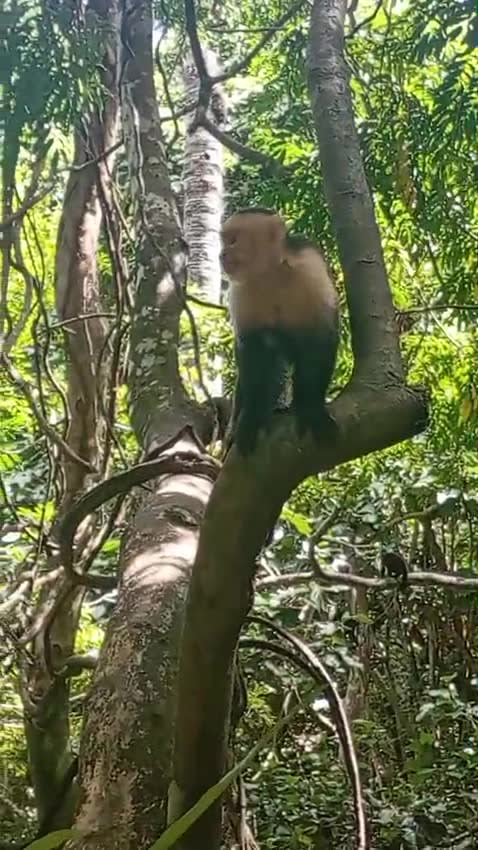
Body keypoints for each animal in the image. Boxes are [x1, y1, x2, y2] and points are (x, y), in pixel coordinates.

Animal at [220, 208, 339, 455]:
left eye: (233, 240)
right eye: (224, 241)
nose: (222, 254)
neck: (271, 275)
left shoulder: (310, 268)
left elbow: (320, 339)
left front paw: (312, 408)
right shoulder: (241, 292)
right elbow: (252, 350)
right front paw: (251, 419)